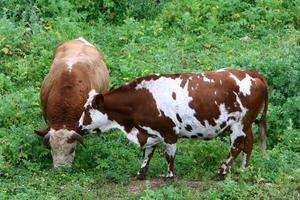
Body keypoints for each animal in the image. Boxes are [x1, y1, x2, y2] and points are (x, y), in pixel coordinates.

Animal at [78, 68, 268, 180]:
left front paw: (169, 176)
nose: (78, 127)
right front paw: (140, 174)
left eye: (87, 109)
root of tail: (252, 73)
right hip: (246, 124)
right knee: (248, 144)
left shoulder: (169, 132)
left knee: (236, 147)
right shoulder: (150, 131)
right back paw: (243, 170)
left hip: (239, 123)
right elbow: (147, 154)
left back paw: (220, 173)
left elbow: (169, 155)